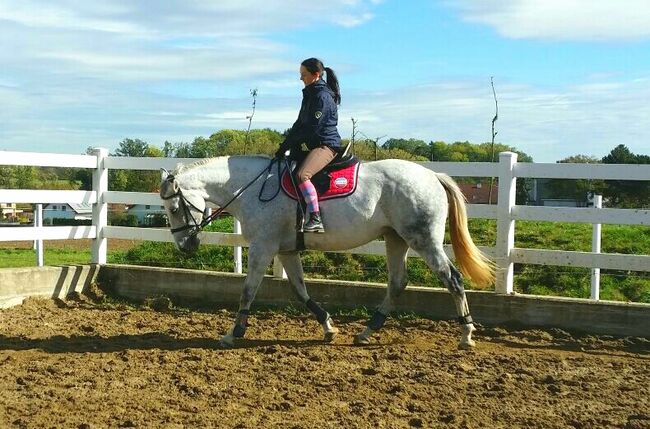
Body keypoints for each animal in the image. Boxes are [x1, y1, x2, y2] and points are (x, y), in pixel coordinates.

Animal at [161, 156, 492, 348]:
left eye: (174, 208)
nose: (185, 245)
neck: (252, 188)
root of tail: (432, 175)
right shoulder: (286, 250)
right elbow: (300, 290)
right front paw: (328, 327)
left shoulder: (262, 247)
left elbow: (248, 291)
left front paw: (234, 333)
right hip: (396, 239)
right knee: (398, 282)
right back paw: (366, 331)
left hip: (423, 239)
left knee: (452, 279)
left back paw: (466, 335)